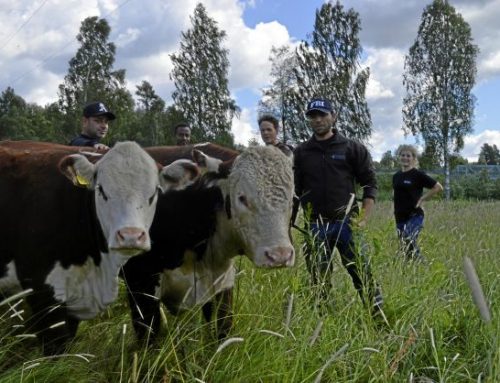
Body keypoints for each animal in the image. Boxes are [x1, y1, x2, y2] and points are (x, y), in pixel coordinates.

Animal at [123, 145, 294, 342]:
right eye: (242, 198)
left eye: (292, 199)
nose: (280, 255)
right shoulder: (140, 286)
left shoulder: (222, 285)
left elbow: (224, 328)